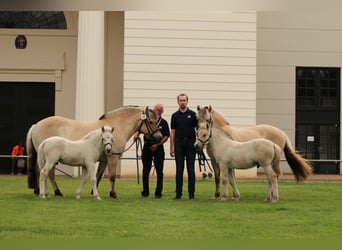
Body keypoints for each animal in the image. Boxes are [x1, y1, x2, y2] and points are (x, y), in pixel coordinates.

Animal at [26, 106, 162, 199]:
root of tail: (36, 125)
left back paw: (52, 192)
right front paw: (113, 194)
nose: (159, 137)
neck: (116, 128)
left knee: (48, 174)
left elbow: (98, 176)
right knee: (44, 173)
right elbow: (112, 177)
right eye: (151, 122)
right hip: (48, 159)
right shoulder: (112, 158)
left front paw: (93, 192)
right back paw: (44, 192)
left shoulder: (103, 160)